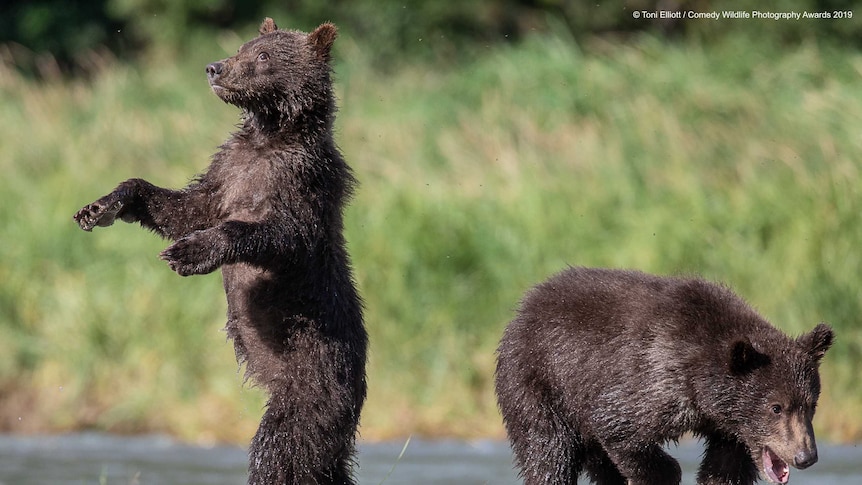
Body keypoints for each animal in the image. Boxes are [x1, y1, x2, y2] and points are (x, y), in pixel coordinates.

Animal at [72, 18, 366, 484]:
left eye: (263, 55)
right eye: (244, 45)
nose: (215, 67)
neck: (270, 135)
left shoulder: (301, 183)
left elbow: (279, 235)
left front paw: (188, 254)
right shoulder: (227, 172)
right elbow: (183, 207)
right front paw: (102, 207)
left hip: (311, 381)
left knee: (283, 449)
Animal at [500, 266, 836, 482]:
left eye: (811, 404)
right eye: (776, 407)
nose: (806, 456)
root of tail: (524, 306)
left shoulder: (728, 429)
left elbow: (725, 468)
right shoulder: (651, 378)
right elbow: (619, 428)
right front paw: (666, 472)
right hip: (540, 384)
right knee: (548, 454)